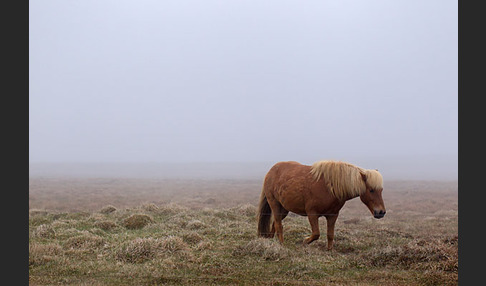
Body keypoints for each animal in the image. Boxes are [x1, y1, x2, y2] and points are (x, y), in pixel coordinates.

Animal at [256, 160, 386, 249]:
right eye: (371, 190)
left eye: (381, 190)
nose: (381, 212)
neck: (330, 188)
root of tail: (271, 170)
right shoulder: (312, 214)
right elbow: (316, 234)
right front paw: (304, 241)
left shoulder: (332, 216)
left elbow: (330, 235)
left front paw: (329, 250)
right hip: (275, 204)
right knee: (278, 225)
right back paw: (282, 244)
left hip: (284, 209)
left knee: (275, 223)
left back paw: (271, 239)